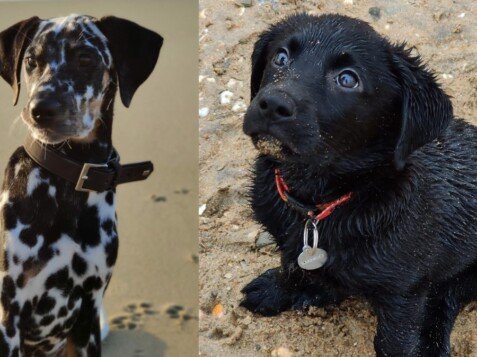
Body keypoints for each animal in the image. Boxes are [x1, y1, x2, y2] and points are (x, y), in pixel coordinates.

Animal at [0, 14, 162, 356]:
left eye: (85, 58)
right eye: (32, 61)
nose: (40, 109)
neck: (66, 183)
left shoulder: (88, 311)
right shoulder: (9, 313)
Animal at [240, 12, 476, 354]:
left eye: (347, 79)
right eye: (280, 58)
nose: (271, 104)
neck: (319, 202)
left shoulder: (404, 291)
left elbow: (394, 340)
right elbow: (294, 264)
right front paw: (279, 289)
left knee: (445, 299)